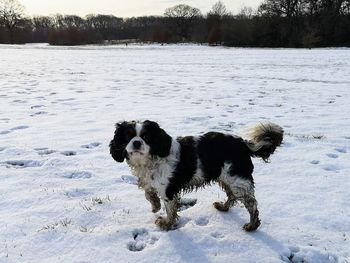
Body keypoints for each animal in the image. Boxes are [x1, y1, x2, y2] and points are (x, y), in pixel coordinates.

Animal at [110, 120, 284, 232]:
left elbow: (170, 210)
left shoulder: (169, 189)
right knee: (232, 196)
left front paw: (166, 224)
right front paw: (155, 205)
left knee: (252, 204)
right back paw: (224, 207)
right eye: (128, 136)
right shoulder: (150, 181)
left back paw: (252, 226)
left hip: (237, 180)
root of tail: (243, 143)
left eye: (146, 137)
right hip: (226, 178)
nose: (136, 142)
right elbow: (148, 193)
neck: (150, 159)